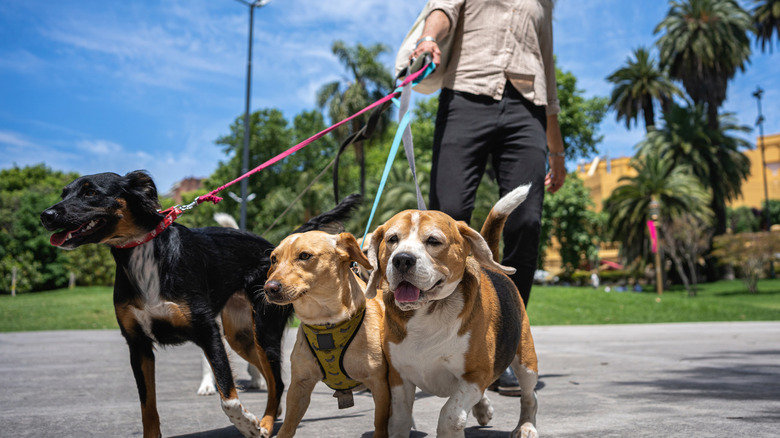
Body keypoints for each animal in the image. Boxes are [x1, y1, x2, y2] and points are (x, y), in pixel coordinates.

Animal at [39, 171, 360, 438]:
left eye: (91, 192)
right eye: (65, 192)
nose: (46, 215)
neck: (146, 256)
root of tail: (272, 250)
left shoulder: (208, 332)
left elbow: (228, 397)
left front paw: (247, 425)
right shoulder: (138, 344)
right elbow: (148, 408)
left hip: (263, 329)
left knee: (278, 381)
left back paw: (266, 424)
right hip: (240, 335)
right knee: (270, 379)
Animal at [266, 231, 390, 436]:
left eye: (304, 256)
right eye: (274, 259)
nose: (269, 288)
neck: (326, 323)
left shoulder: (379, 385)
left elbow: (380, 425)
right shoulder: (299, 386)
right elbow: (287, 428)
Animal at [364, 185, 536, 438]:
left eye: (433, 240)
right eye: (392, 239)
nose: (402, 260)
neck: (427, 311)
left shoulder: (476, 375)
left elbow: (450, 415)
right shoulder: (398, 377)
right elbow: (400, 419)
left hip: (526, 362)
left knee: (530, 396)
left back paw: (526, 426)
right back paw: (483, 408)